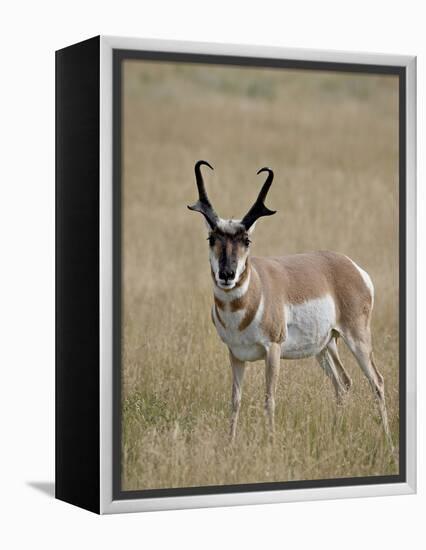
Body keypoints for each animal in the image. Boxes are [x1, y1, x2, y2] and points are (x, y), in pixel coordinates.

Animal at [188, 162, 392, 446]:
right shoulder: (236, 355)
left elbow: (269, 400)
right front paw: (230, 443)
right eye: (212, 239)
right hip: (326, 346)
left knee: (377, 381)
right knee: (343, 383)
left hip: (357, 339)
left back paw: (388, 440)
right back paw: (335, 433)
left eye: (246, 240)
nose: (227, 274)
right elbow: (235, 401)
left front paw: (271, 443)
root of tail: (351, 266)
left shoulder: (272, 350)